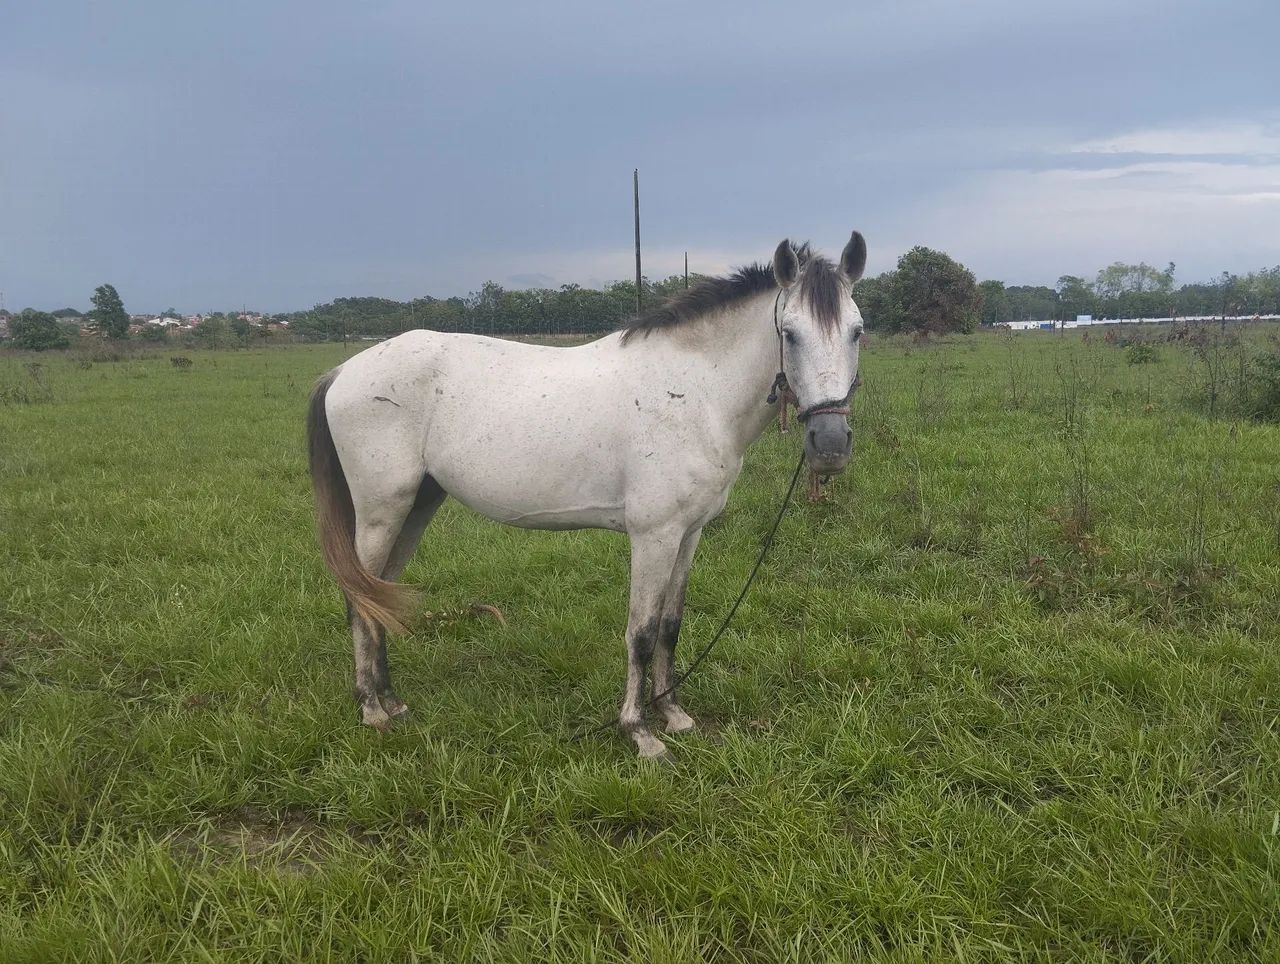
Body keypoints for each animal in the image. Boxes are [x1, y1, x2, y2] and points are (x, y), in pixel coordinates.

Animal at [306, 232, 868, 758]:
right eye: (789, 333)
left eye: (858, 331)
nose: (830, 445)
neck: (693, 392)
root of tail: (344, 371)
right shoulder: (653, 536)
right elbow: (641, 633)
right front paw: (640, 732)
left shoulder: (688, 534)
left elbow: (670, 625)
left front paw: (675, 714)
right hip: (381, 513)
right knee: (358, 597)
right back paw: (372, 710)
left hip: (417, 507)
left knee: (379, 594)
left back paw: (393, 701)